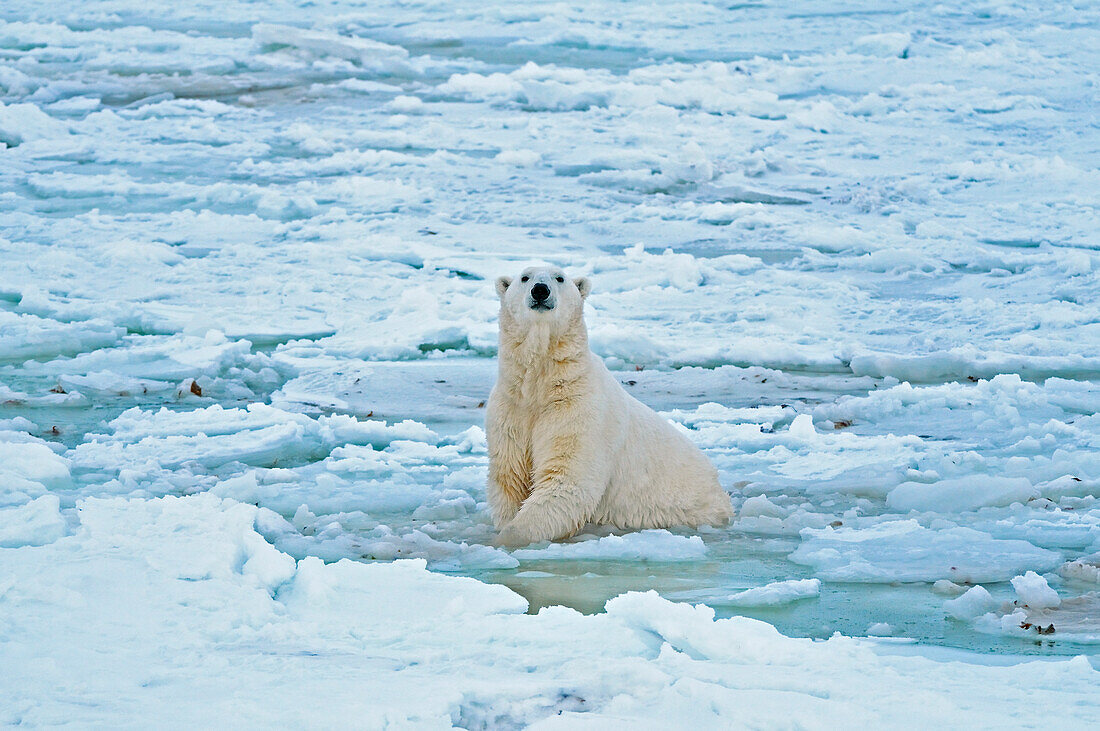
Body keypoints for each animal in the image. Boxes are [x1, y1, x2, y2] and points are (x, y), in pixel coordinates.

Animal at [488, 264, 730, 545]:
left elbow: (567, 480)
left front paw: (509, 536)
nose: (540, 290)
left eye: (559, 277)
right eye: (525, 277)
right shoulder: (511, 409)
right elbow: (510, 476)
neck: (543, 385)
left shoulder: (580, 410)